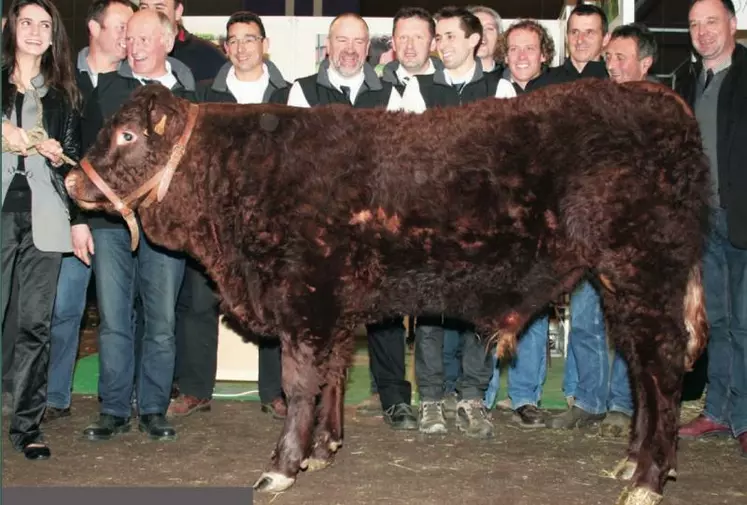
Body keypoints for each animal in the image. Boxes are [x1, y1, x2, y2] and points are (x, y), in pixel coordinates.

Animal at [62, 79, 708, 504]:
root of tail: (657, 95)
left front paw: (282, 466)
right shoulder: (333, 307)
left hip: (644, 272)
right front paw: (324, 450)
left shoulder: (305, 300)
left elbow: (300, 386)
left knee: (662, 365)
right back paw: (631, 462)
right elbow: (330, 380)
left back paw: (650, 478)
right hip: (622, 284)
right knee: (642, 369)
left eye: (126, 133)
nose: (70, 181)